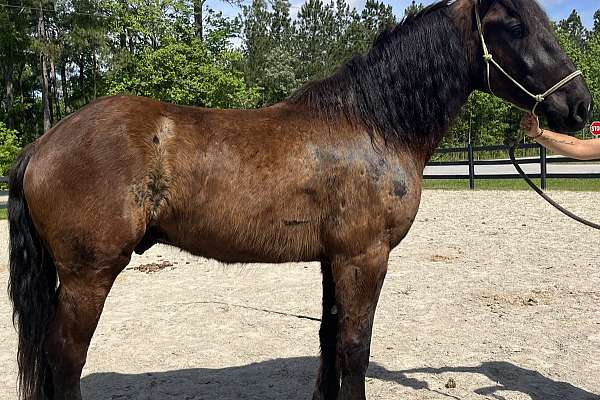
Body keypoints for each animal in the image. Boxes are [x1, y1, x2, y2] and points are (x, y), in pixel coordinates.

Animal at [7, 0, 592, 398]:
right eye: (513, 24)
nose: (580, 105)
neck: (373, 125)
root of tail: (43, 143)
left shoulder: (335, 259)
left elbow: (329, 341)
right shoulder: (364, 257)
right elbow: (354, 348)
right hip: (88, 275)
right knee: (66, 357)